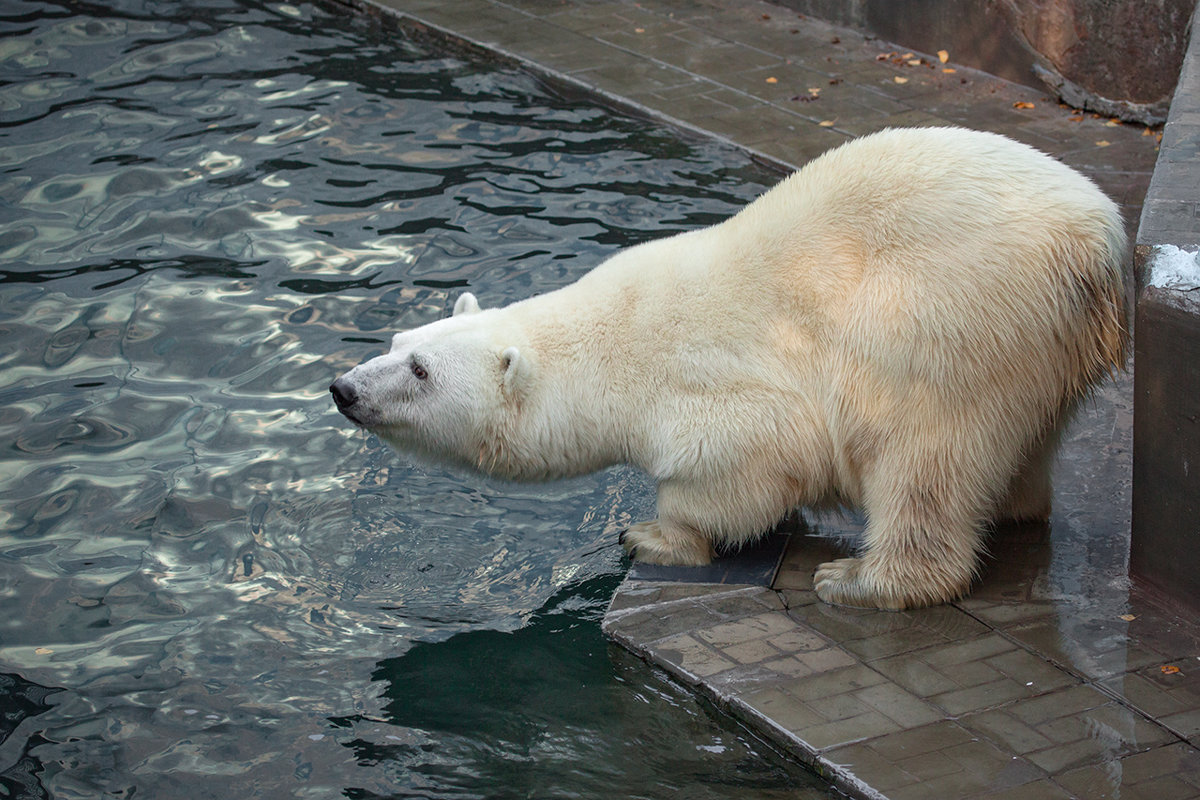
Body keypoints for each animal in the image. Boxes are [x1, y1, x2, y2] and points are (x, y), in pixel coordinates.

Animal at [328, 128, 1123, 609]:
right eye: (397, 340)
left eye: (420, 371)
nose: (343, 388)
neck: (612, 343)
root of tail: (1096, 244)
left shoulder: (715, 383)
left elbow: (737, 469)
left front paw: (649, 536)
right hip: (1042, 346)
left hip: (944, 322)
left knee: (922, 456)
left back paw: (859, 579)